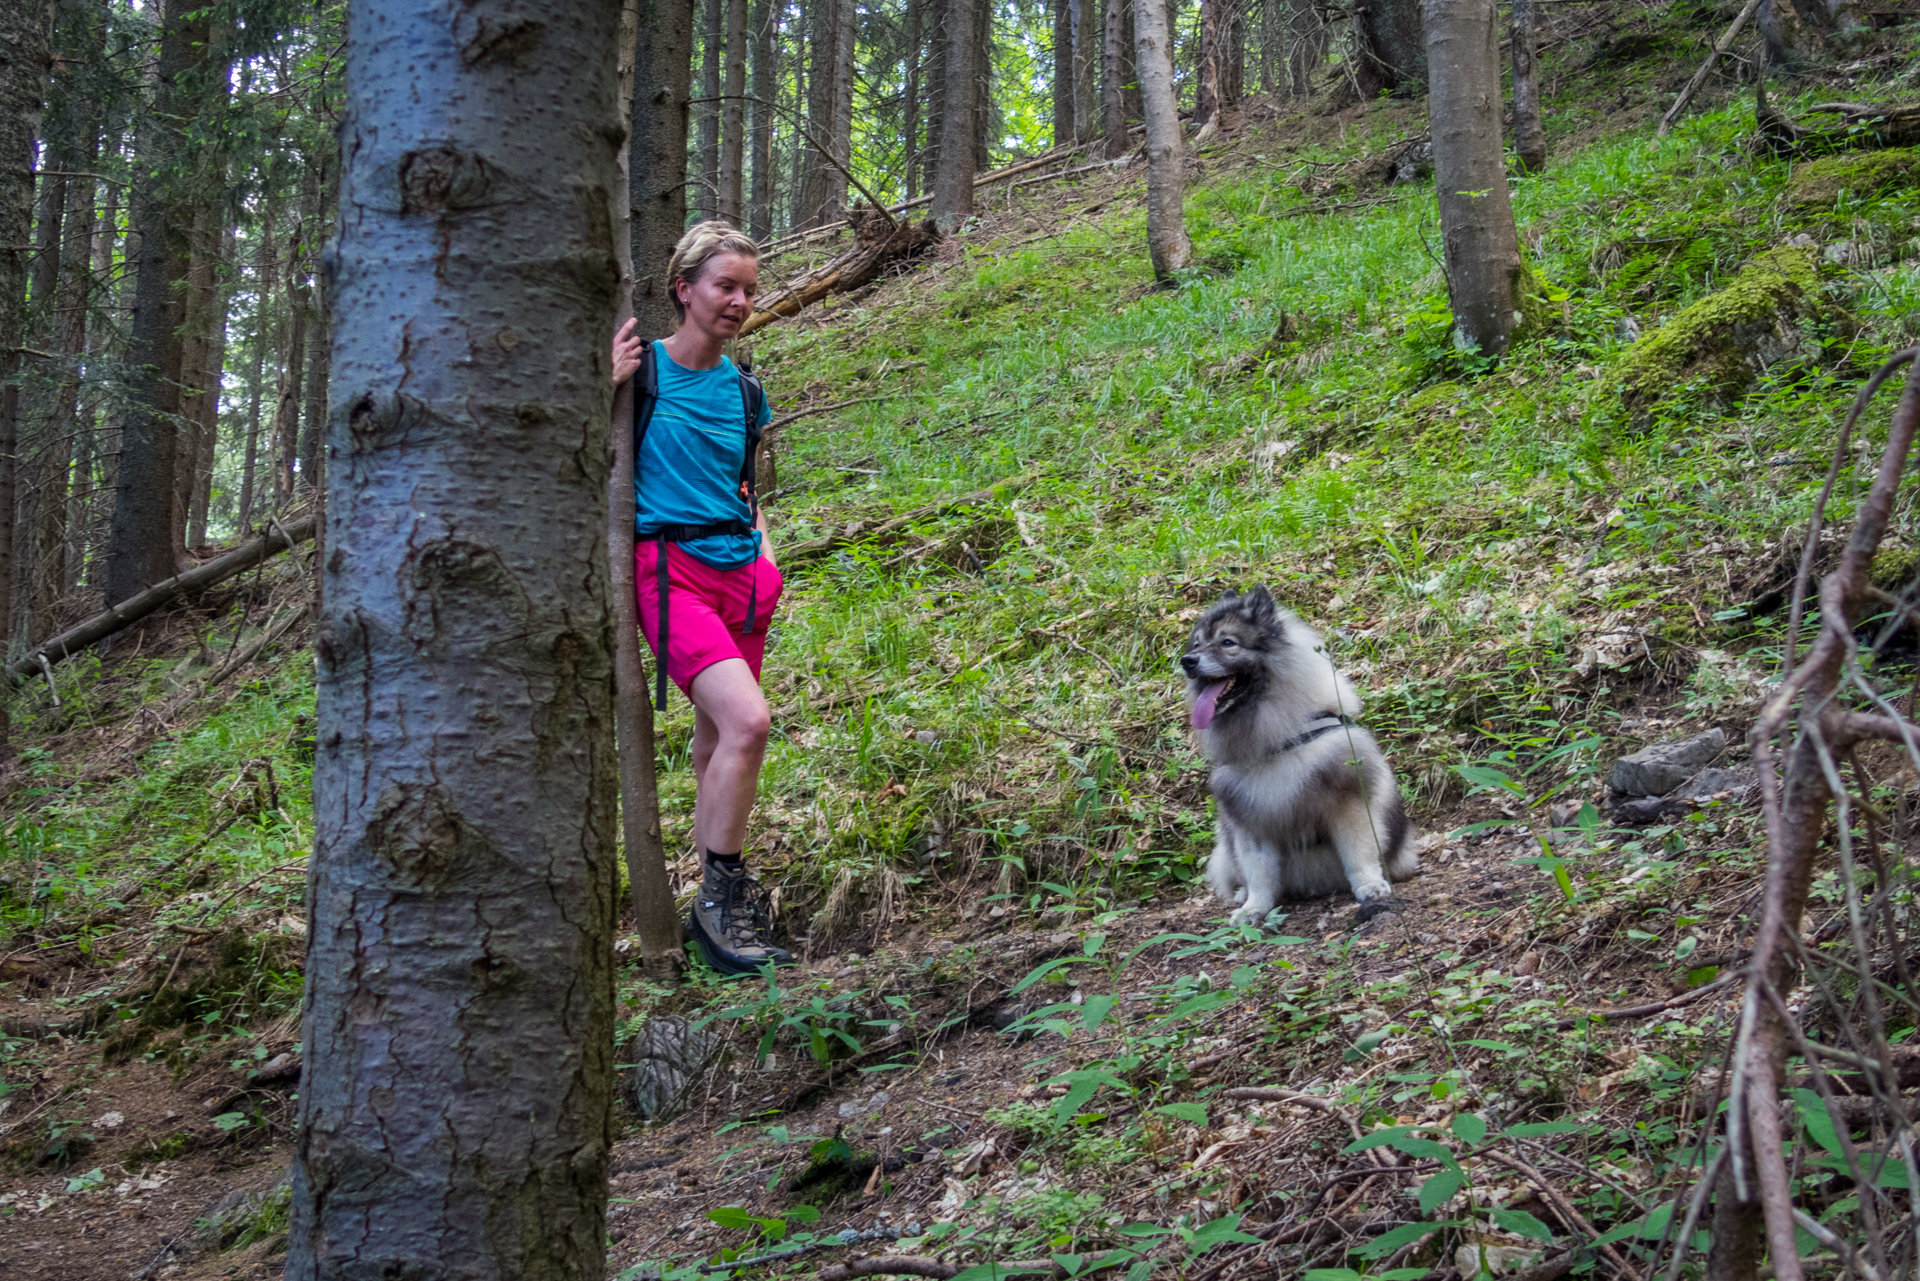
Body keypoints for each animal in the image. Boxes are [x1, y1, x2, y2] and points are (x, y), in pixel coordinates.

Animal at [1175, 591, 1420, 921]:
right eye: (1197, 645)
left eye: (1227, 642)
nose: (1187, 661)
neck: (1278, 740)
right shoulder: (1250, 822)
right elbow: (1259, 874)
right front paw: (1254, 908)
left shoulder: (1349, 804)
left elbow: (1359, 854)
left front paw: (1369, 886)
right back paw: (1242, 895)